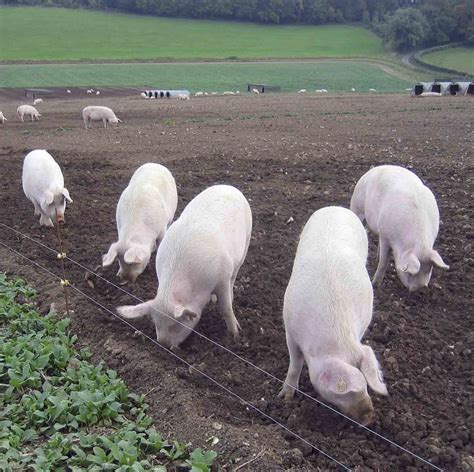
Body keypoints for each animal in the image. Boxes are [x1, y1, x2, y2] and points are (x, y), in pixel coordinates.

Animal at [116, 184, 252, 350]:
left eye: (176, 325)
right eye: (156, 324)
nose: (164, 345)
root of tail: (228, 186)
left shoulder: (222, 278)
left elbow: (225, 308)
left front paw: (235, 335)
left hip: (246, 241)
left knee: (235, 274)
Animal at [280, 206, 386, 424]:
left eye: (367, 386)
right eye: (346, 392)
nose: (369, 418)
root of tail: (337, 208)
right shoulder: (290, 331)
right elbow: (295, 364)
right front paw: (285, 398)